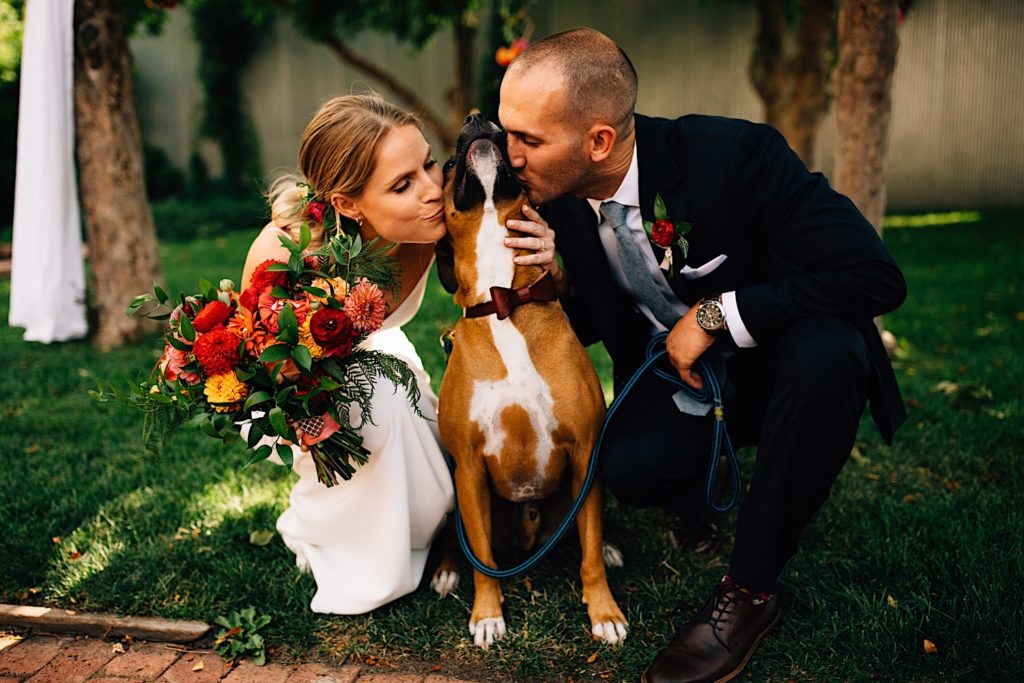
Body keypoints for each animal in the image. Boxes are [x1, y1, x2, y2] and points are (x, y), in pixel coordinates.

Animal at [436, 113, 626, 651]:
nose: (477, 117)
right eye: (446, 164)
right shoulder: (469, 469)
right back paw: (445, 570)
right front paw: (486, 615)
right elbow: (482, 557)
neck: (503, 298)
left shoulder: (586, 454)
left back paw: (609, 548)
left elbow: (587, 551)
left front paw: (604, 611)